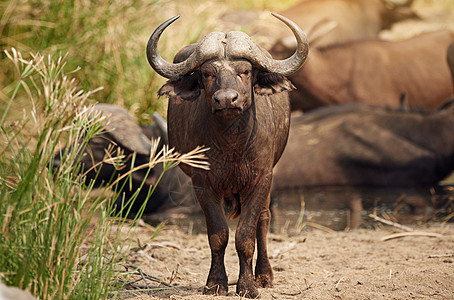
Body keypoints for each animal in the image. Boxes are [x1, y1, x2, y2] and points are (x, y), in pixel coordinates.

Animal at [145, 12, 308, 298]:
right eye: (208, 73)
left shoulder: (261, 178)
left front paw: (248, 286)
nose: (226, 99)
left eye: (245, 71)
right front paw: (216, 283)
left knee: (263, 221)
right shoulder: (202, 183)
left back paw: (264, 275)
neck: (233, 145)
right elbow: (218, 234)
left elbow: (246, 236)